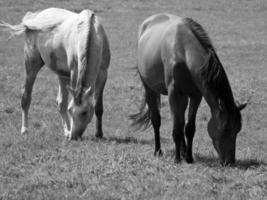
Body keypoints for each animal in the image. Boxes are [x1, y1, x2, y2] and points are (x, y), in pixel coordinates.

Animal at [0, 7, 111, 139]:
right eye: (71, 110)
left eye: (84, 112)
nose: (73, 137)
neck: (92, 33)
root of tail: (35, 17)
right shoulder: (74, 73)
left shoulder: (103, 74)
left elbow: (98, 107)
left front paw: (99, 133)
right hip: (32, 64)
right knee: (26, 96)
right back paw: (25, 129)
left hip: (62, 74)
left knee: (60, 102)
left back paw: (66, 130)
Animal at [131, 14, 248, 166]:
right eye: (226, 128)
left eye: (238, 129)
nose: (230, 162)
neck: (184, 53)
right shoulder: (173, 94)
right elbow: (176, 128)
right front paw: (177, 159)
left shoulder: (195, 95)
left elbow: (189, 127)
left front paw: (189, 157)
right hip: (150, 89)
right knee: (156, 120)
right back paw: (158, 151)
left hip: (183, 97)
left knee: (181, 121)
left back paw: (182, 151)